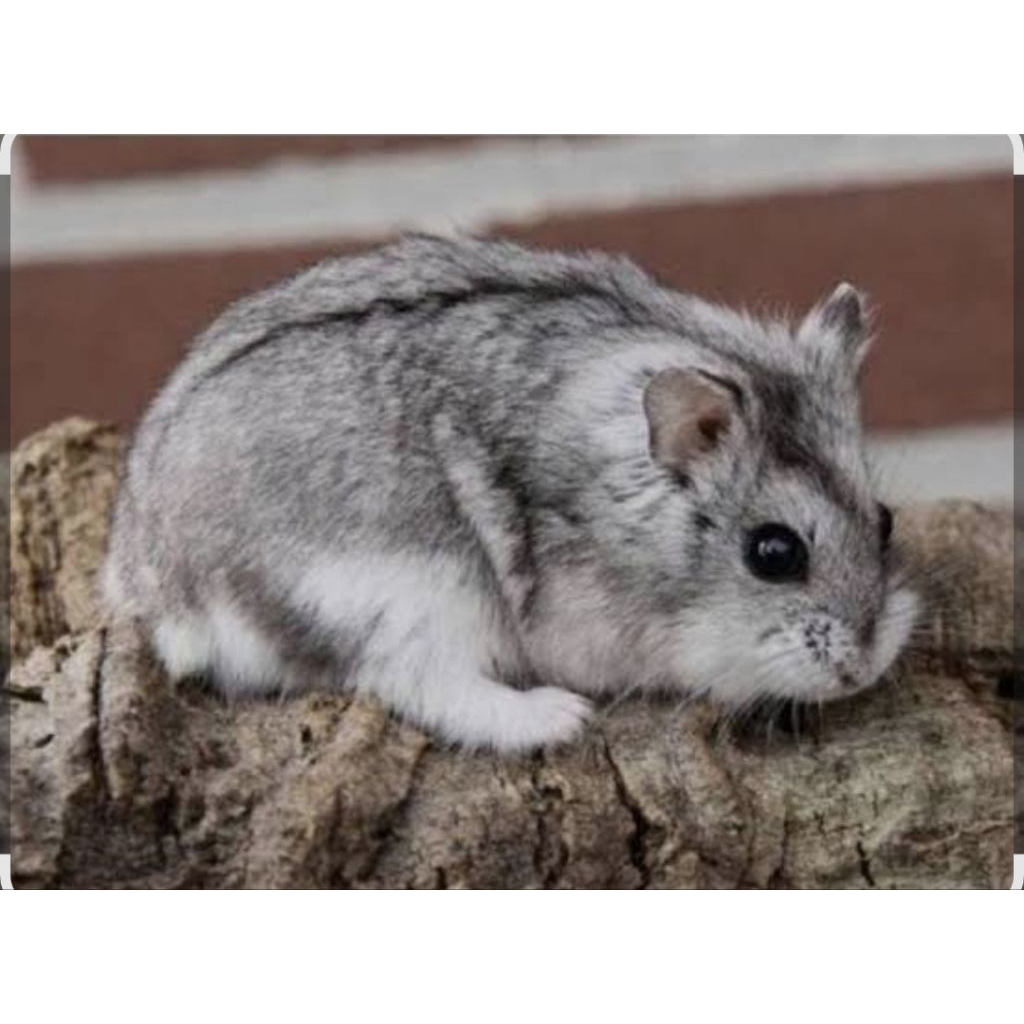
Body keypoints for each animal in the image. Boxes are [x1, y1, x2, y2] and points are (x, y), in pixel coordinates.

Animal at [103, 235, 919, 751]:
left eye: (884, 521)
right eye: (773, 553)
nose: (864, 669)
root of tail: (155, 582)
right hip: (414, 591)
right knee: (407, 683)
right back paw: (560, 719)